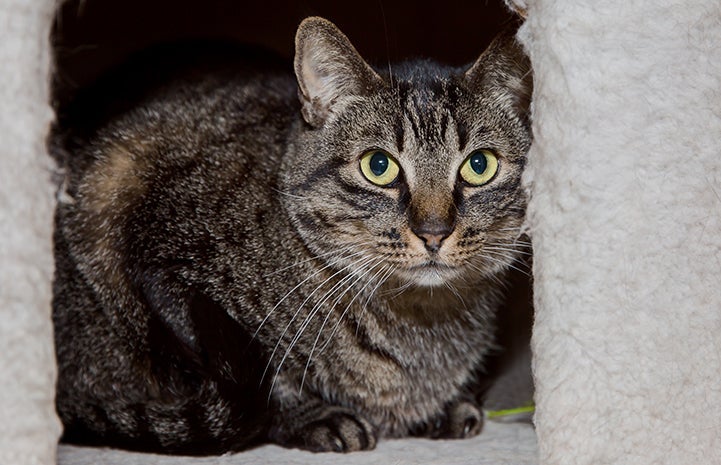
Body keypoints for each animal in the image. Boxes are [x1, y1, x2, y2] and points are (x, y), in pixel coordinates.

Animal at [50, 17, 532, 454]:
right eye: (378, 166)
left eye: (479, 165)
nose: (434, 232)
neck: (420, 325)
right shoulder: (155, 262)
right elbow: (263, 372)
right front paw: (309, 415)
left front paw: (449, 403)